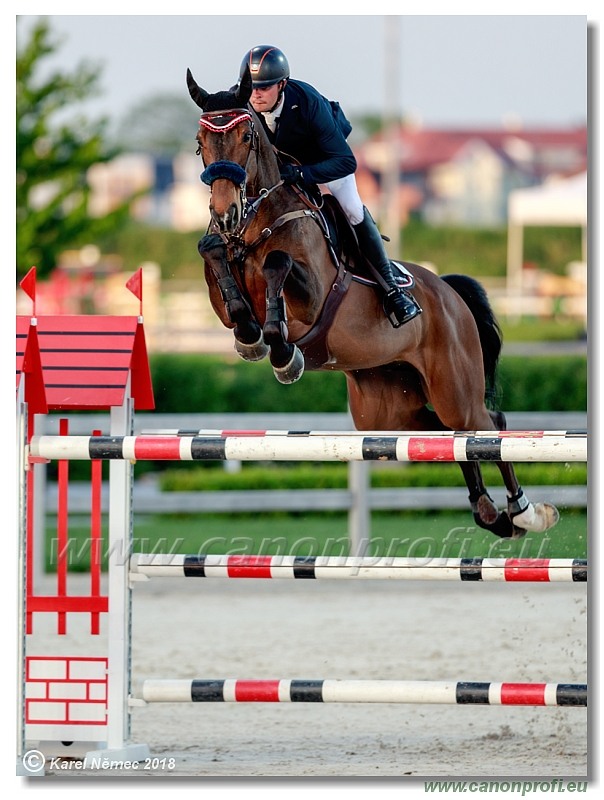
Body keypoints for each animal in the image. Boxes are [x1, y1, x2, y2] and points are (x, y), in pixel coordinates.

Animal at [186, 65, 560, 540]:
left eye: (246, 135)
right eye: (201, 141)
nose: (226, 212)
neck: (255, 226)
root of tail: (450, 292)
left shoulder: (312, 296)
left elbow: (278, 264)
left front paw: (283, 353)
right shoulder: (222, 275)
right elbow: (213, 255)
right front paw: (251, 337)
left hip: (455, 388)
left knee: (487, 426)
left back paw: (524, 512)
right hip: (386, 410)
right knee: (446, 438)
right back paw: (490, 514)